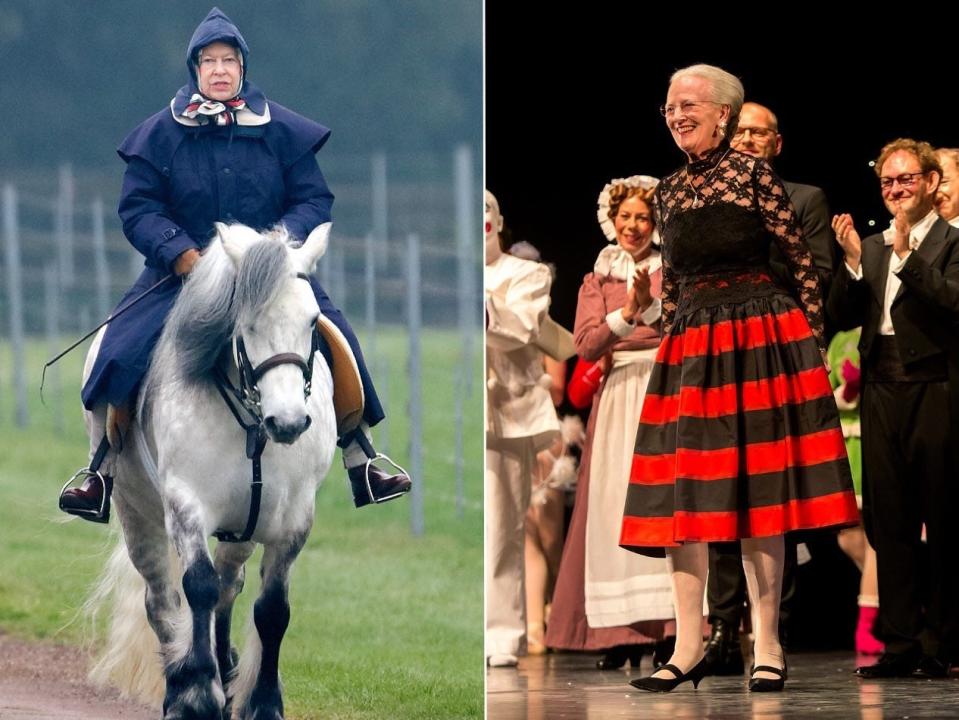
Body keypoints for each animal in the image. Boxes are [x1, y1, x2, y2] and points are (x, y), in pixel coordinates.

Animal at [83, 222, 338, 720]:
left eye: (312, 321)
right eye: (249, 323)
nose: (288, 422)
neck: (252, 423)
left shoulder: (293, 518)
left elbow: (271, 609)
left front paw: (262, 702)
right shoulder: (186, 504)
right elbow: (196, 587)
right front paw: (197, 695)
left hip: (243, 526)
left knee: (228, 588)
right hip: (137, 516)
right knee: (163, 601)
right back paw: (182, 681)